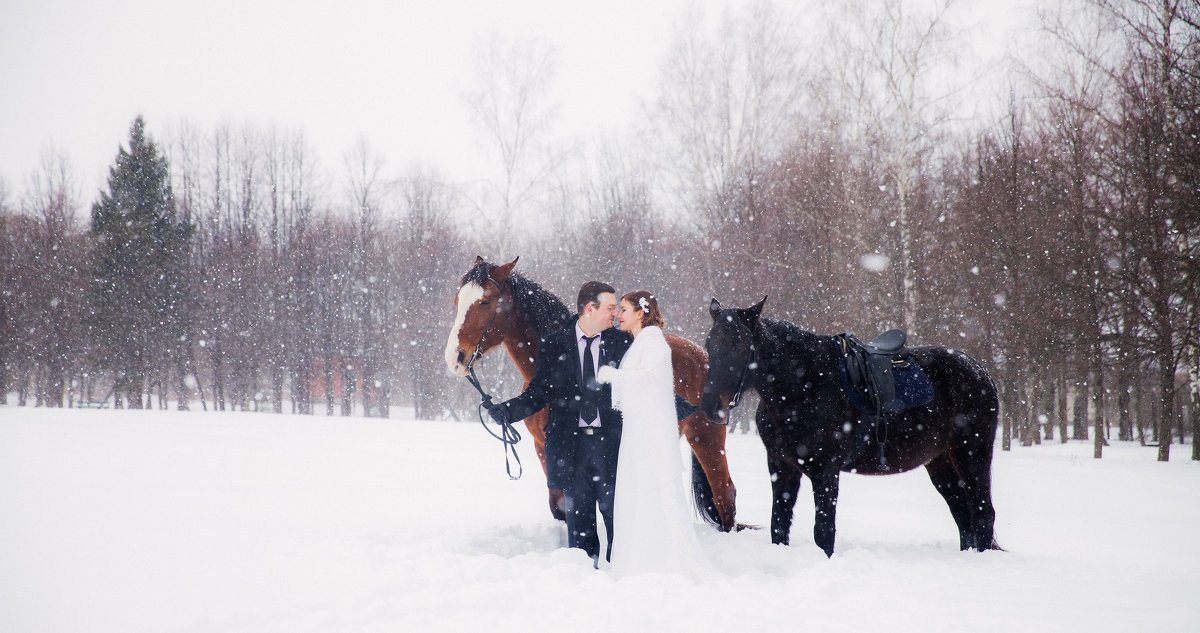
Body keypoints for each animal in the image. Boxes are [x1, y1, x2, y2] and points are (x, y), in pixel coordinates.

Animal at [446, 255, 734, 529]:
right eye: (458, 300)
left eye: (485, 302)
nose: (454, 358)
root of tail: (703, 356)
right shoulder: (546, 450)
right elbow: (562, 508)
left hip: (706, 437)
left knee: (724, 494)